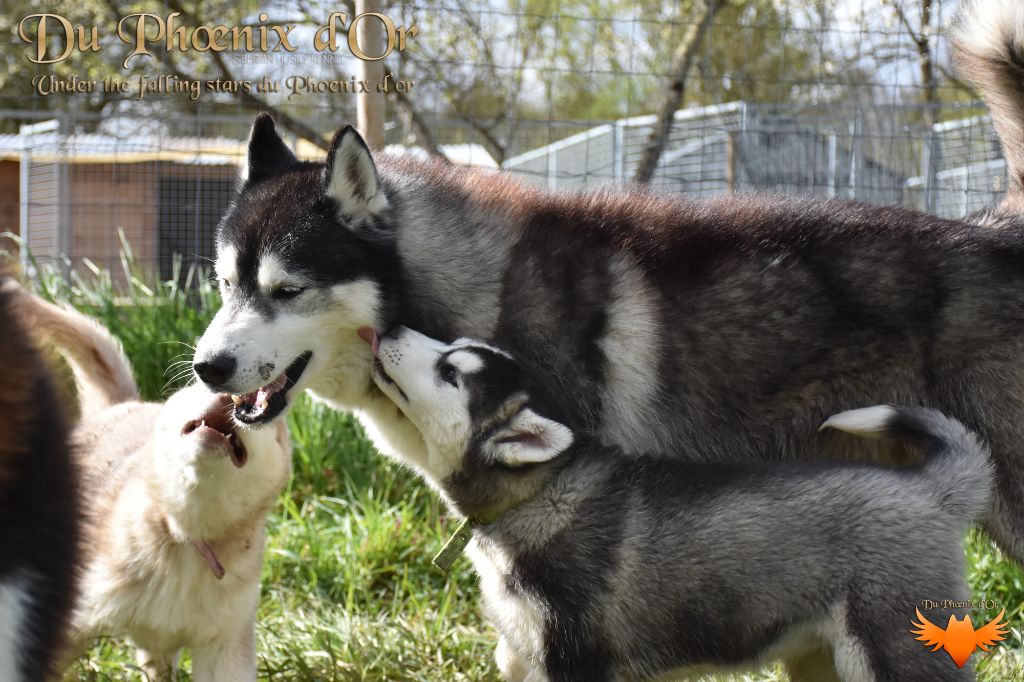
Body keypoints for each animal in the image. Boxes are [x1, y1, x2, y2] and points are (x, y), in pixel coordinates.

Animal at [368, 327, 991, 675]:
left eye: (450, 372)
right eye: (451, 349)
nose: (389, 323)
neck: (539, 494)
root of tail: (930, 489)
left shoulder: (577, 662)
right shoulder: (524, 657)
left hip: (893, 648)